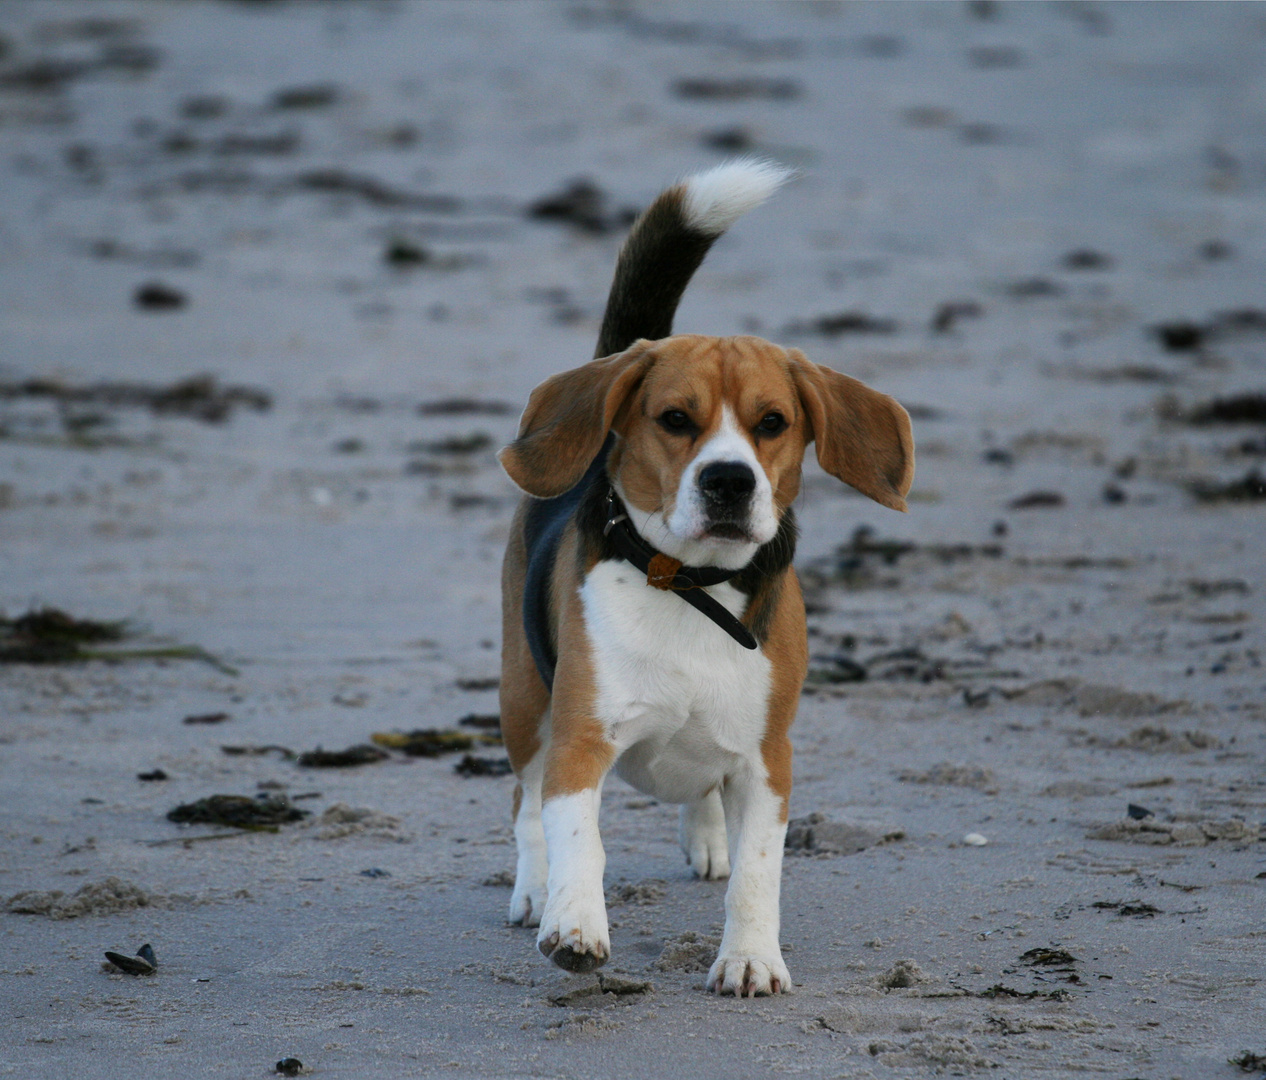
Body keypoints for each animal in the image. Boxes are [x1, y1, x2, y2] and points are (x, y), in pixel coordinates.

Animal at [493, 160, 911, 992]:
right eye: (675, 419)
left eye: (773, 422)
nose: (728, 481)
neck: (690, 585)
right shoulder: (581, 738)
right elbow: (576, 834)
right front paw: (575, 923)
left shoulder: (767, 761)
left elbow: (758, 871)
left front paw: (749, 958)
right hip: (523, 697)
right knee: (526, 800)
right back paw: (534, 888)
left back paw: (707, 836)